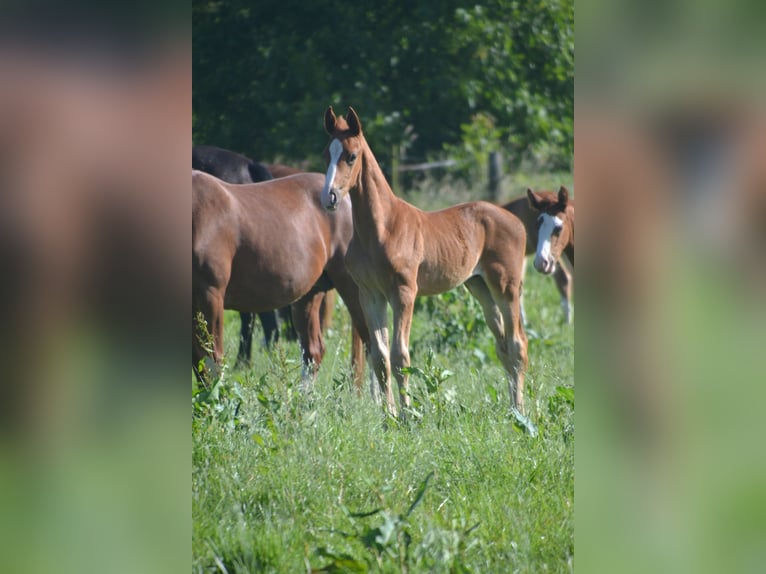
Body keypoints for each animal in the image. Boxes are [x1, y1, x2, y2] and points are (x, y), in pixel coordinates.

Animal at [320, 106, 532, 418]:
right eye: (327, 154)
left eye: (351, 156)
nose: (329, 197)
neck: (382, 228)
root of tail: (516, 220)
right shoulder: (370, 294)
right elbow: (380, 357)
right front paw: (389, 415)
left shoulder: (404, 293)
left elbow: (400, 356)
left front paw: (408, 414)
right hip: (479, 287)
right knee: (503, 345)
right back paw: (512, 408)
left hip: (506, 287)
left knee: (518, 344)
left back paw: (520, 411)